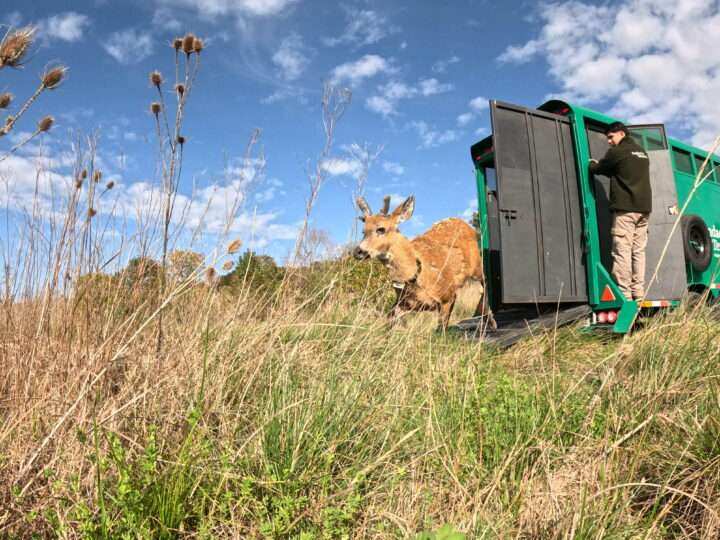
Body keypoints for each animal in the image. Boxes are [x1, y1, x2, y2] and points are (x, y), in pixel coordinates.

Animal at [353, 195, 497, 332]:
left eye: (381, 229)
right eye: (363, 231)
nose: (358, 251)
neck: (418, 274)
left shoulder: (448, 295)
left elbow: (441, 331)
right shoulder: (404, 303)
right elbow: (389, 321)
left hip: (477, 265)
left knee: (485, 282)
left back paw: (490, 321)